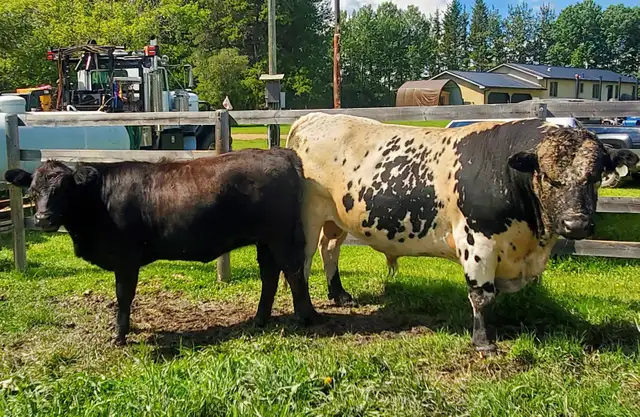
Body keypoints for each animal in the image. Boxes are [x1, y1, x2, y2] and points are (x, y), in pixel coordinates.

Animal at [4, 148, 320, 345]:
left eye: (64, 189)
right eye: (33, 190)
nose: (43, 218)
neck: (98, 198)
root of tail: (278, 152)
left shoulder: (126, 259)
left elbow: (123, 296)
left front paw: (120, 335)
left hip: (281, 236)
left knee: (293, 272)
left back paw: (305, 318)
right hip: (265, 240)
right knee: (270, 275)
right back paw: (259, 320)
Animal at [286, 113, 639, 353]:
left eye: (595, 175)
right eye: (549, 177)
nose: (576, 224)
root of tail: (314, 117)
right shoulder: (477, 241)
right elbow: (482, 296)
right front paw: (483, 341)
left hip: (335, 220)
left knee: (330, 250)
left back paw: (339, 294)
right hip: (309, 217)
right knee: (301, 263)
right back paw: (309, 311)